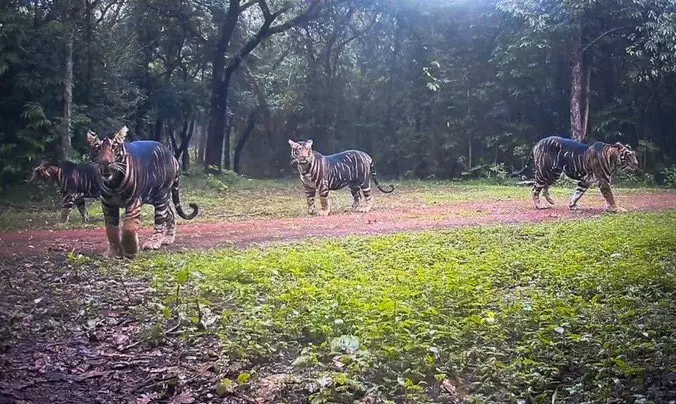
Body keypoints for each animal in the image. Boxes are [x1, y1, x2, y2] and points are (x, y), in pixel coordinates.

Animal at [86, 126, 199, 258]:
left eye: (114, 146)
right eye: (98, 147)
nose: (105, 162)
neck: (113, 183)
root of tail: (172, 157)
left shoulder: (133, 202)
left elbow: (129, 227)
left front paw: (131, 250)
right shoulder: (107, 204)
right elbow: (111, 229)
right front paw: (113, 251)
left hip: (161, 196)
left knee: (160, 221)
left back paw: (154, 242)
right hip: (154, 197)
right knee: (170, 213)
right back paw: (168, 238)